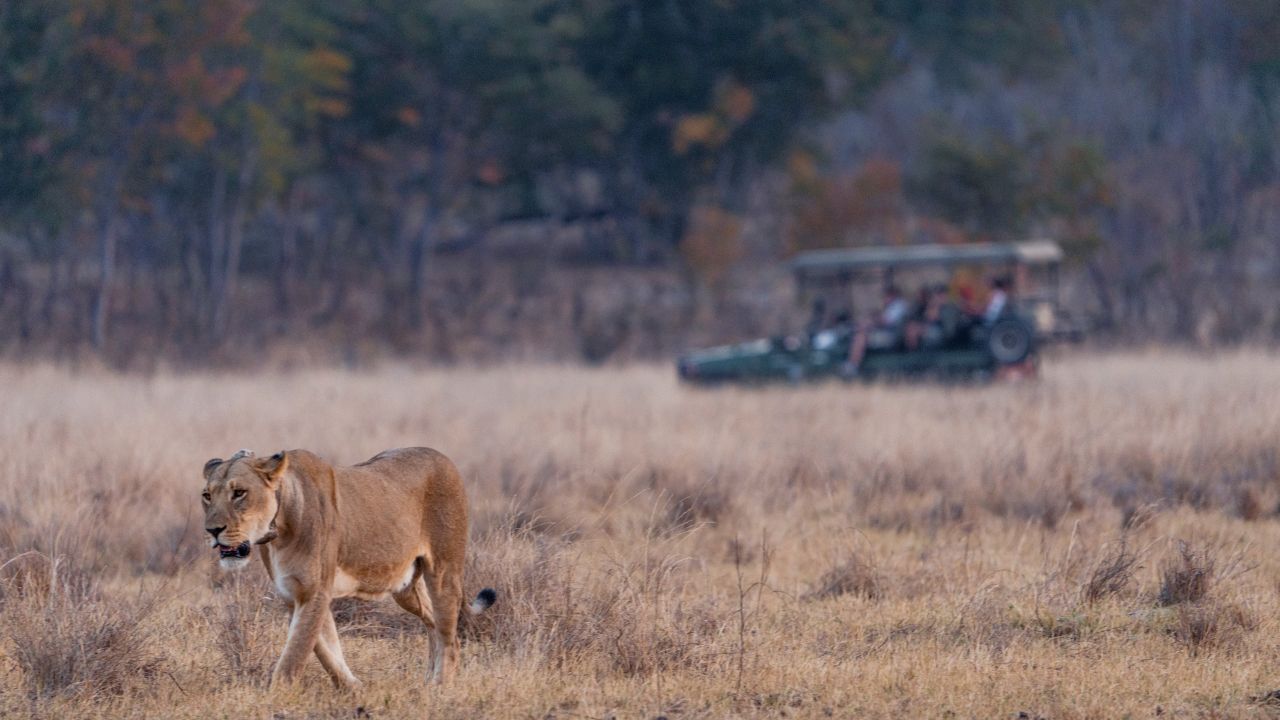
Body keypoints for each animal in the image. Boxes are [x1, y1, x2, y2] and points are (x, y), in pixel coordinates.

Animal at [201, 447, 495, 689]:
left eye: (239, 493)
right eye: (206, 496)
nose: (212, 531)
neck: (279, 529)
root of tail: (442, 457)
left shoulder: (314, 592)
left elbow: (294, 656)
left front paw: (274, 698)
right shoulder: (293, 594)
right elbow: (325, 649)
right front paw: (354, 688)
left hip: (444, 571)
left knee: (449, 636)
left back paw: (438, 688)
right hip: (405, 588)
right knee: (434, 623)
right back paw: (426, 682)